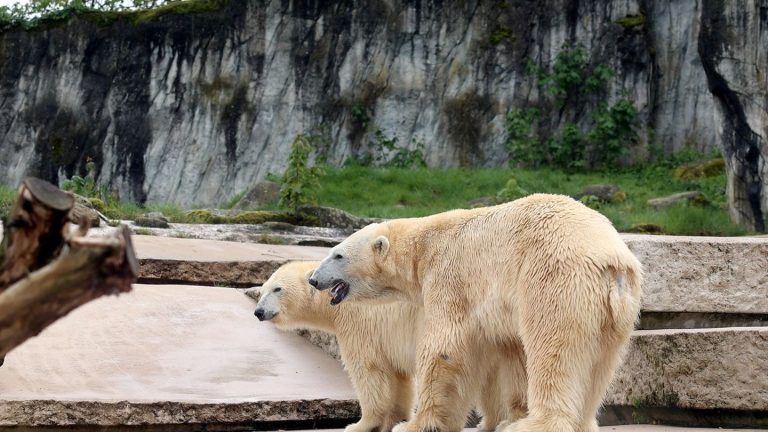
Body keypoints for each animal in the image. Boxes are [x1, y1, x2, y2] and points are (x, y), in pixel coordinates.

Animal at [252, 260, 528, 432]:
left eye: (277, 289)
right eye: (262, 290)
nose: (258, 312)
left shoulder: (359, 322)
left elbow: (369, 371)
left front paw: (360, 424)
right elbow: (399, 378)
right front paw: (394, 418)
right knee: (497, 379)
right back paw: (491, 423)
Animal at [308, 194, 644, 432]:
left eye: (337, 254)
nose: (313, 278)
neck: (422, 245)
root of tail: (612, 262)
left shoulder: (448, 275)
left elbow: (444, 347)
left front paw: (413, 425)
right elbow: (512, 352)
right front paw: (505, 416)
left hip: (555, 280)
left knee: (554, 351)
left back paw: (533, 425)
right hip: (618, 313)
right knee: (601, 366)